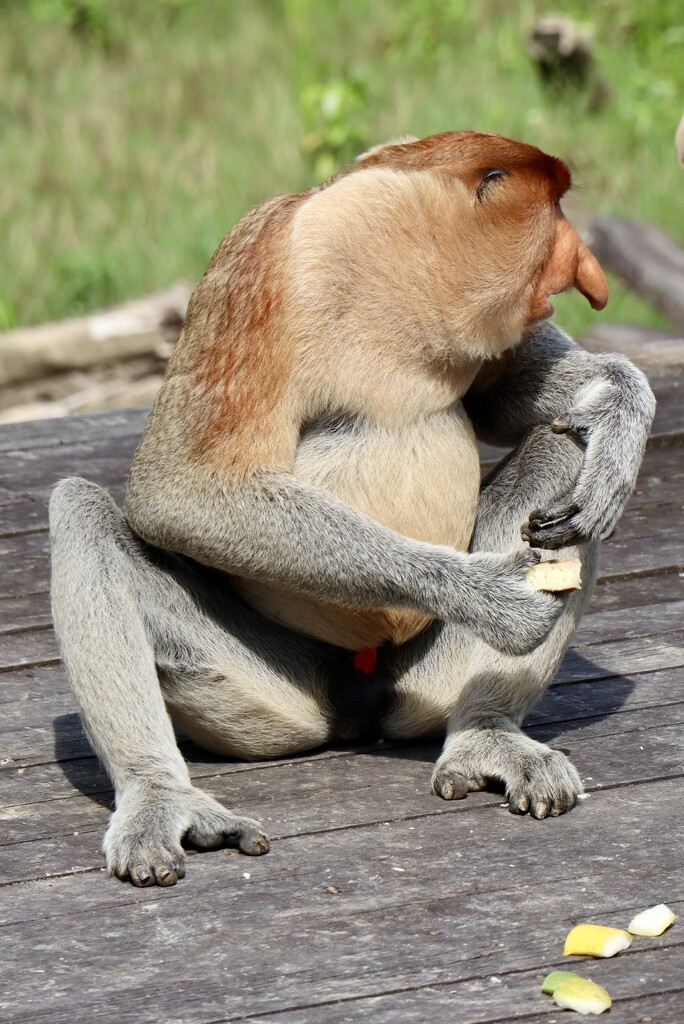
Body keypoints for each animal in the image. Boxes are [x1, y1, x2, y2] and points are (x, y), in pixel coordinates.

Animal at [49, 132, 655, 887]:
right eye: (557, 212)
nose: (589, 272)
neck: (399, 250)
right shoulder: (260, 269)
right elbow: (177, 487)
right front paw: (491, 594)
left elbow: (504, 392)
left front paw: (621, 403)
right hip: (278, 688)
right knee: (79, 509)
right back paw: (161, 798)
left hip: (422, 681)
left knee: (566, 450)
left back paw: (486, 735)